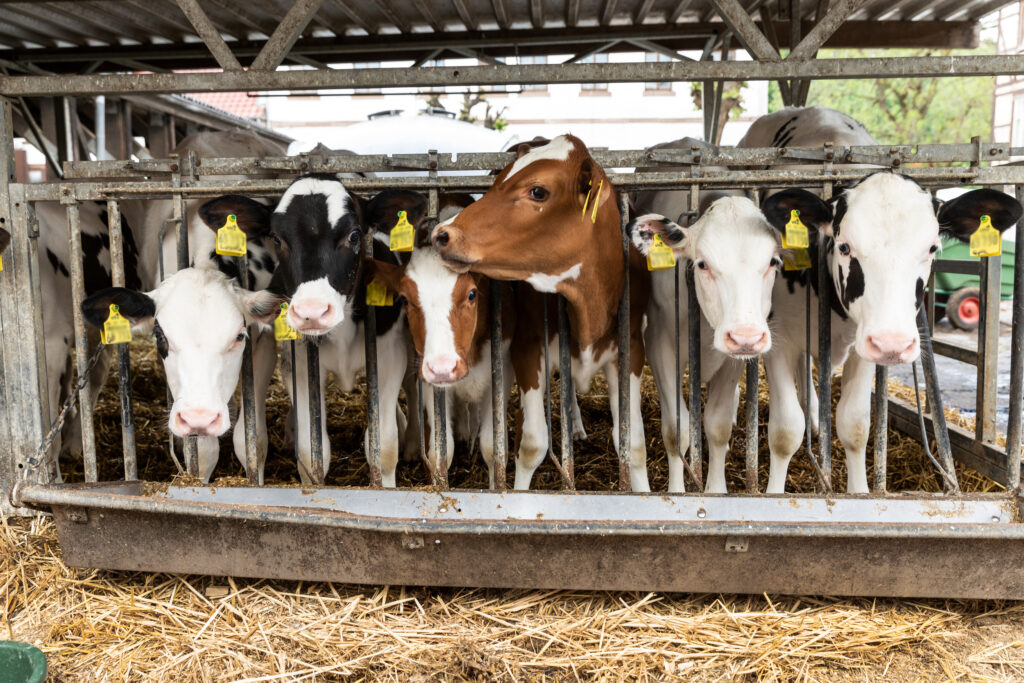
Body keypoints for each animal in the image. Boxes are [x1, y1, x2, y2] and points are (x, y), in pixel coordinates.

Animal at [430, 133, 651, 491]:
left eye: (538, 191)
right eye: (498, 179)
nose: (441, 234)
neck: (589, 307)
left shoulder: (630, 350)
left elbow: (632, 444)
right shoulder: (528, 347)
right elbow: (533, 444)